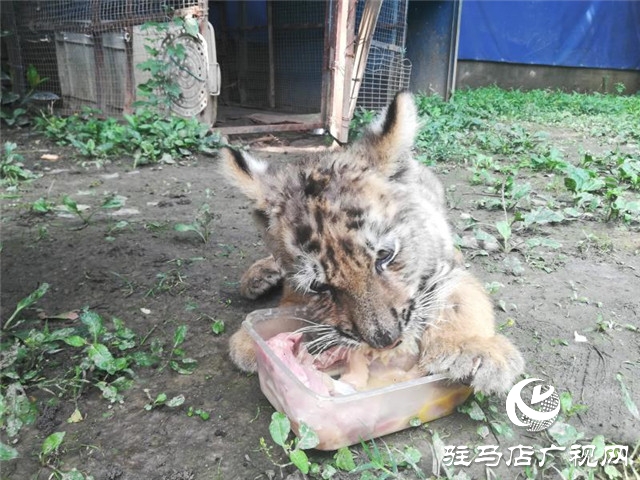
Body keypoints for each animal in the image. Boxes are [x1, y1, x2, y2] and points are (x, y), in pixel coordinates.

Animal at [219, 92, 524, 395]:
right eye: (319, 286)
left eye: (385, 256)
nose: (385, 340)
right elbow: (289, 302)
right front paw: (251, 340)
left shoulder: (447, 269)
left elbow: (461, 299)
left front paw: (473, 350)